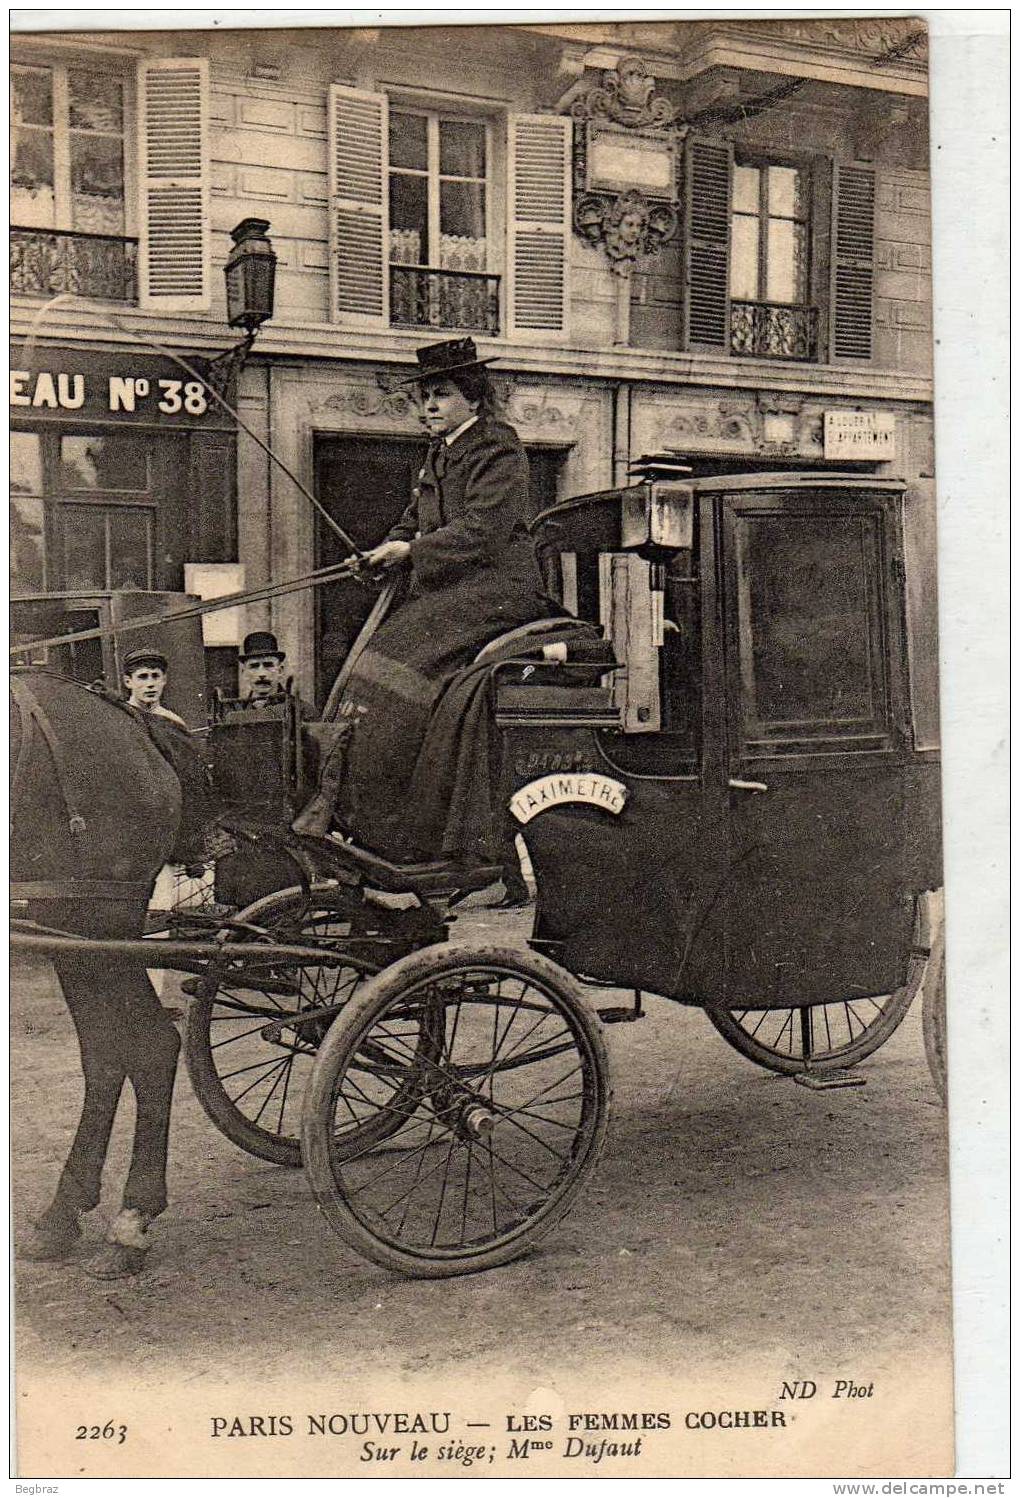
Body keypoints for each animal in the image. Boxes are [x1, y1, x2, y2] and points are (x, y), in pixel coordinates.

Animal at [10, 674, 185, 1282]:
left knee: (151, 1046)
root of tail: (135, 724)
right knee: (108, 1054)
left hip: (100, 916)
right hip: (68, 923)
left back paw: (132, 1219)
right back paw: (63, 1213)